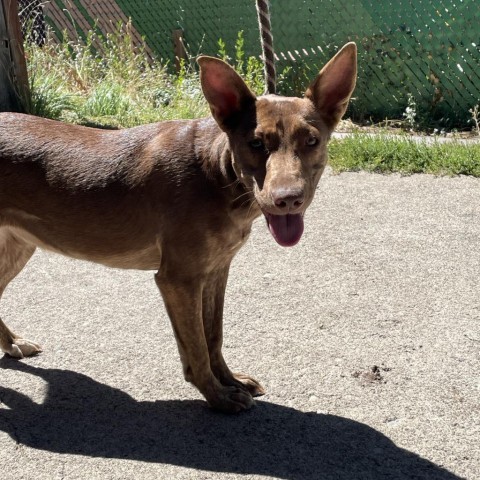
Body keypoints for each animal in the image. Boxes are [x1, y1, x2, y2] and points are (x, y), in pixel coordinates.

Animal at [0, 44, 352, 412]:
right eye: (256, 144)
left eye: (311, 140)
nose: (288, 200)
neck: (217, 175)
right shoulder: (178, 280)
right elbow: (196, 346)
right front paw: (217, 396)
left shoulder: (215, 271)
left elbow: (213, 336)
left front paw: (229, 380)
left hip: (19, 245)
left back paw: (12, 343)